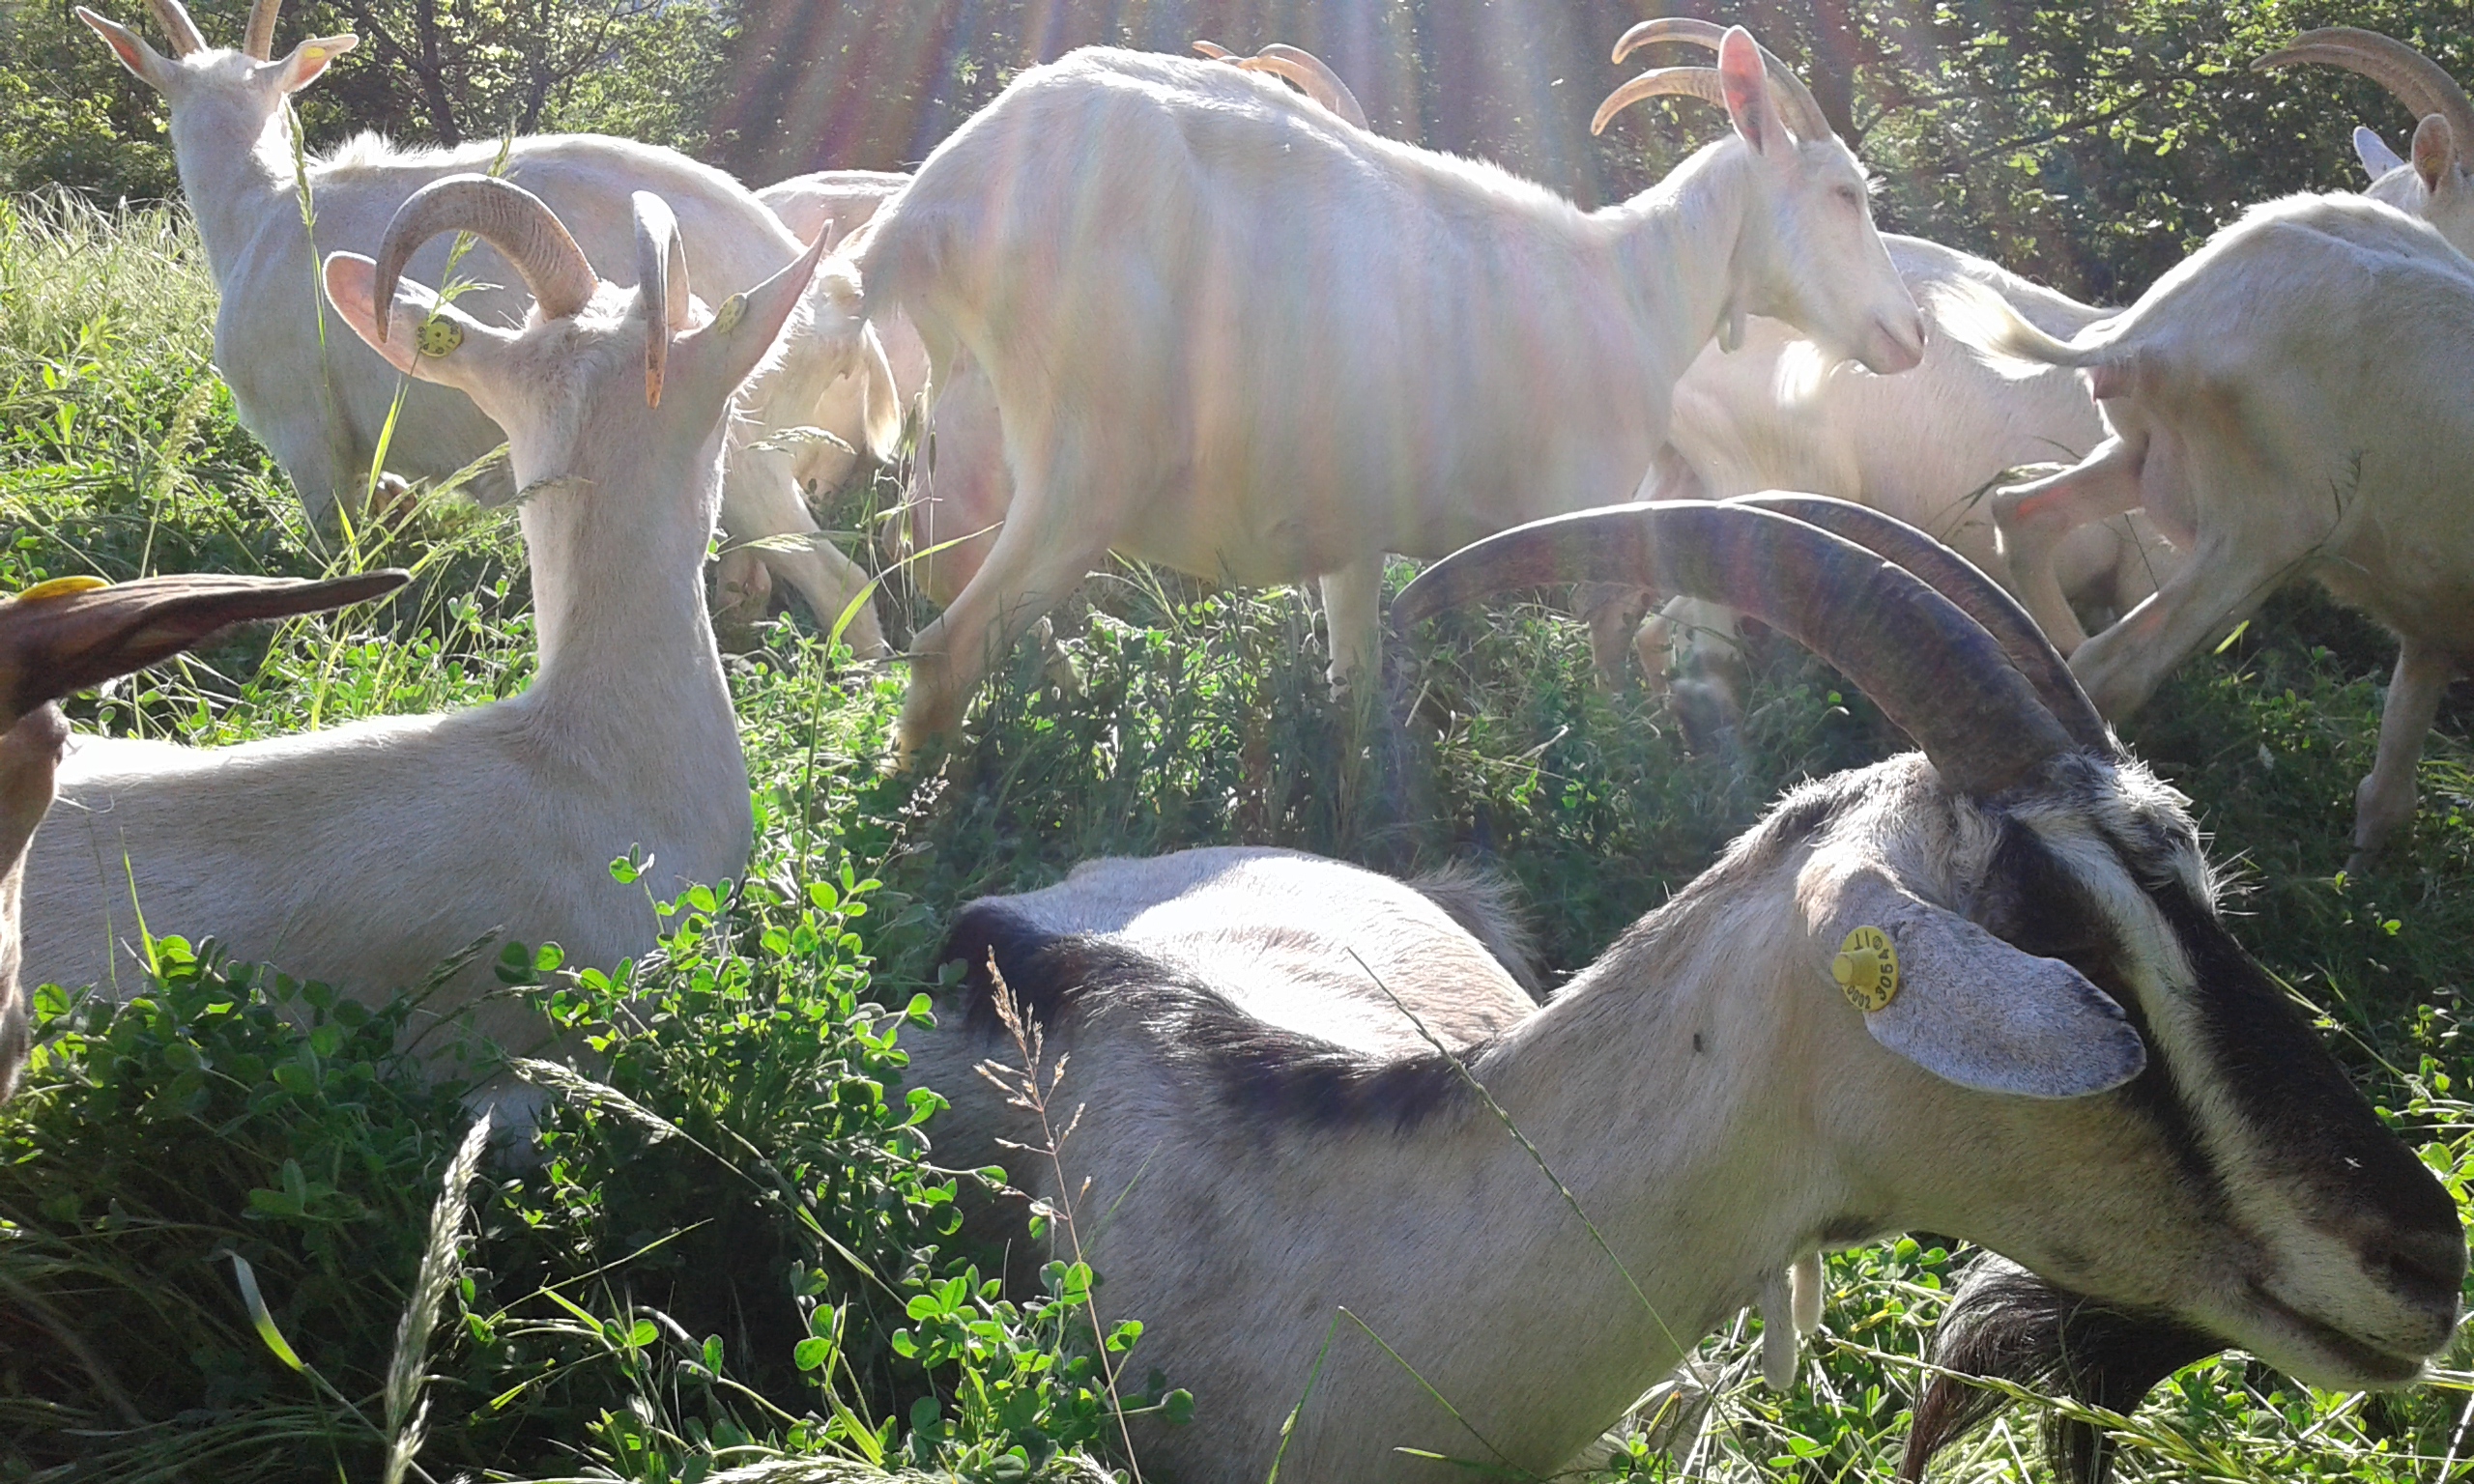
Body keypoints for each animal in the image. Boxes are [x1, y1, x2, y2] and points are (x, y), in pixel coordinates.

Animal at [77, 0, 900, 654]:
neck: (263, 209)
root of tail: (832, 303)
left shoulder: (306, 435)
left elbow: (337, 555)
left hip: (749, 449)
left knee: (837, 582)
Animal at [858, 22, 1925, 759]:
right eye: (1844, 194)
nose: (1910, 333)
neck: (1634, 282)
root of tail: (934, 206)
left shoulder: (1350, 539)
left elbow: (1353, 687)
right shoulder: (1586, 512)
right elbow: (1608, 661)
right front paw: (1630, 764)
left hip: (964, 457)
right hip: (1090, 461)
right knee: (948, 651)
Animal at [1945, 192, 2474, 870]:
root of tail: (2153, 331)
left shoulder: (2432, 630)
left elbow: (2388, 791)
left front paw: (2357, 879)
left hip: (2145, 458)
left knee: (2022, 514)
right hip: (2268, 527)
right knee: (2114, 664)